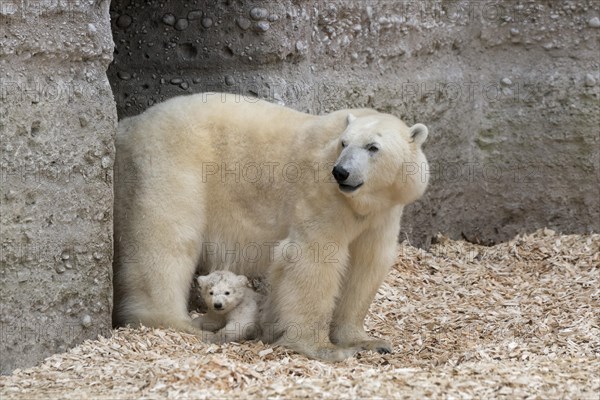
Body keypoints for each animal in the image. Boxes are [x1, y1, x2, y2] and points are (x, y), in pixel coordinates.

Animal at [112, 92, 428, 360]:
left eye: (373, 147)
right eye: (344, 143)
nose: (341, 172)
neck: (361, 202)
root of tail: (128, 126)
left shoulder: (382, 214)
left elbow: (366, 265)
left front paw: (368, 341)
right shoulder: (321, 195)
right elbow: (313, 259)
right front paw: (323, 348)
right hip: (169, 163)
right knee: (167, 238)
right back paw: (182, 322)